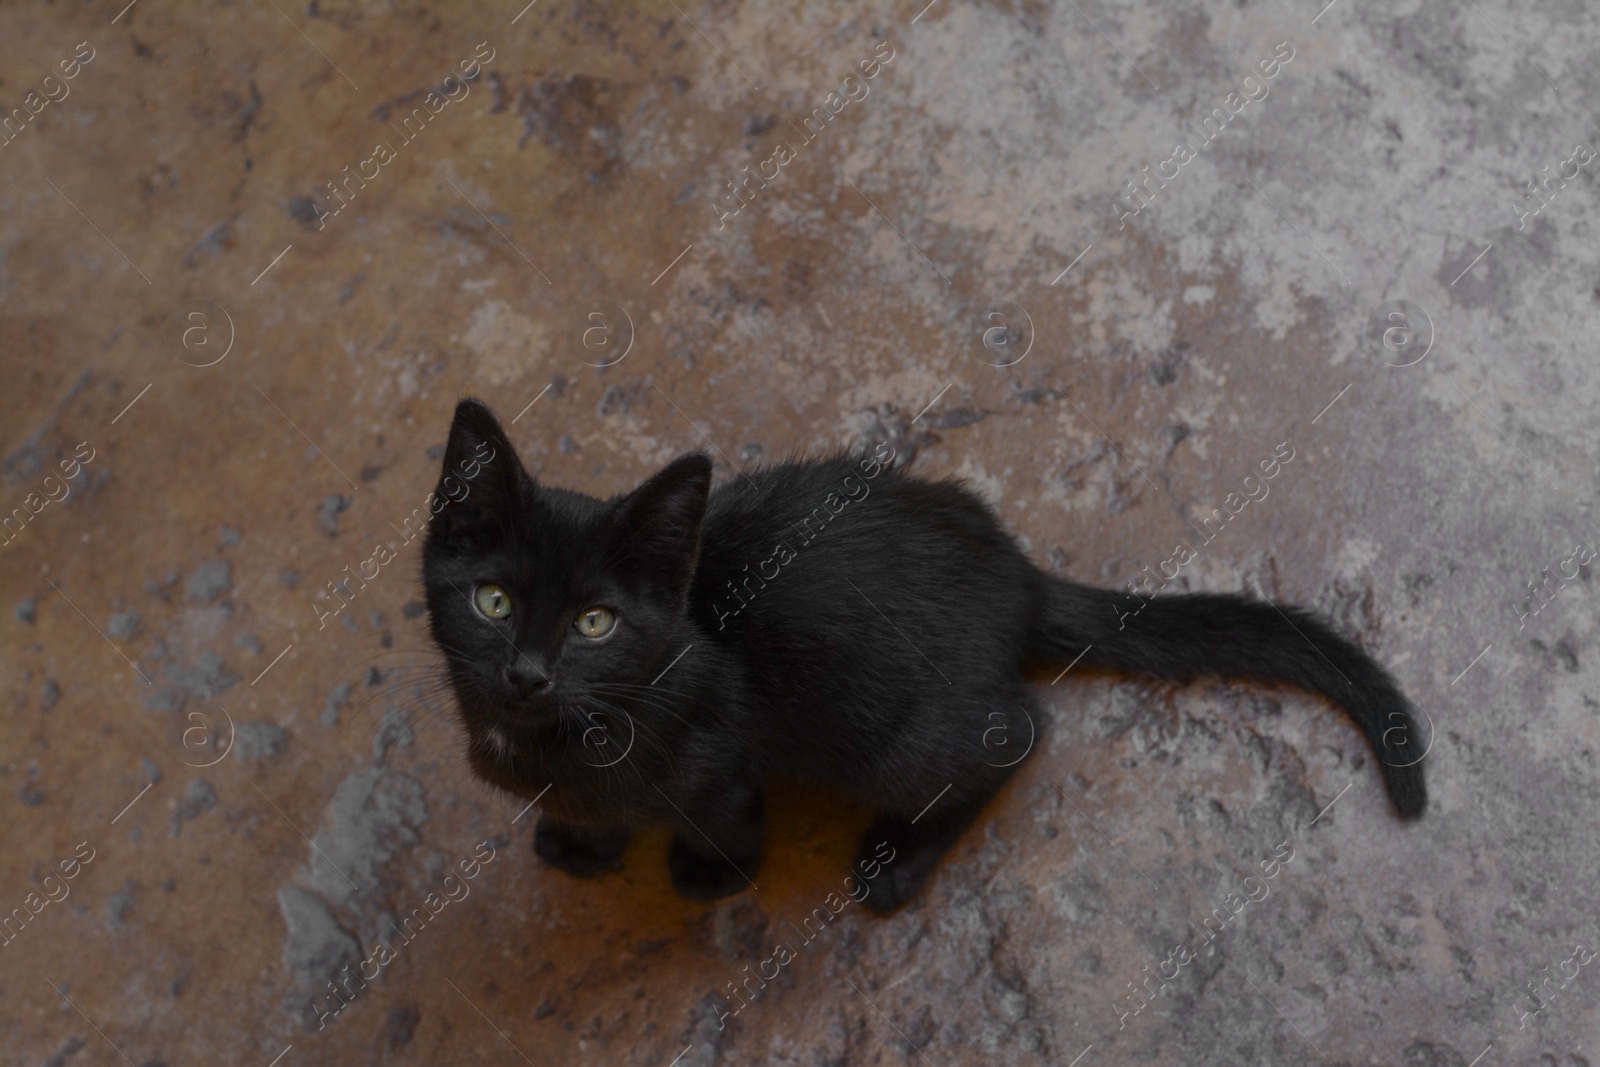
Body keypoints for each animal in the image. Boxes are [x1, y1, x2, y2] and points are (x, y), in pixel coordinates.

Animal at [422, 396, 1427, 915]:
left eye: (596, 622)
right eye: (493, 601)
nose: (526, 674)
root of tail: (1017, 577)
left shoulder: (724, 751)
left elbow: (722, 813)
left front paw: (712, 871)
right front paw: (581, 840)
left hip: (891, 736)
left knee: (1016, 732)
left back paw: (895, 861)